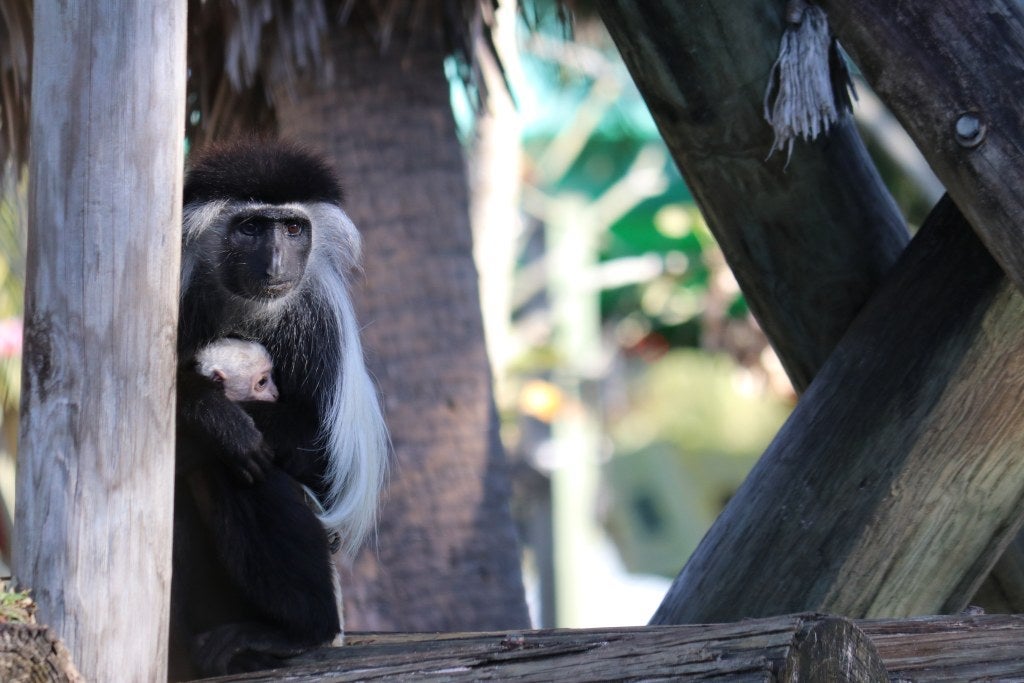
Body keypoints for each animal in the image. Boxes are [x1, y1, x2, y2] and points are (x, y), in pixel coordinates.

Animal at [169, 140, 388, 679]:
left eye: (292, 229)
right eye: (251, 228)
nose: (274, 263)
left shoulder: (318, 318)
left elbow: (328, 466)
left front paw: (226, 420)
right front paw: (212, 411)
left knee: (242, 467)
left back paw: (292, 633)